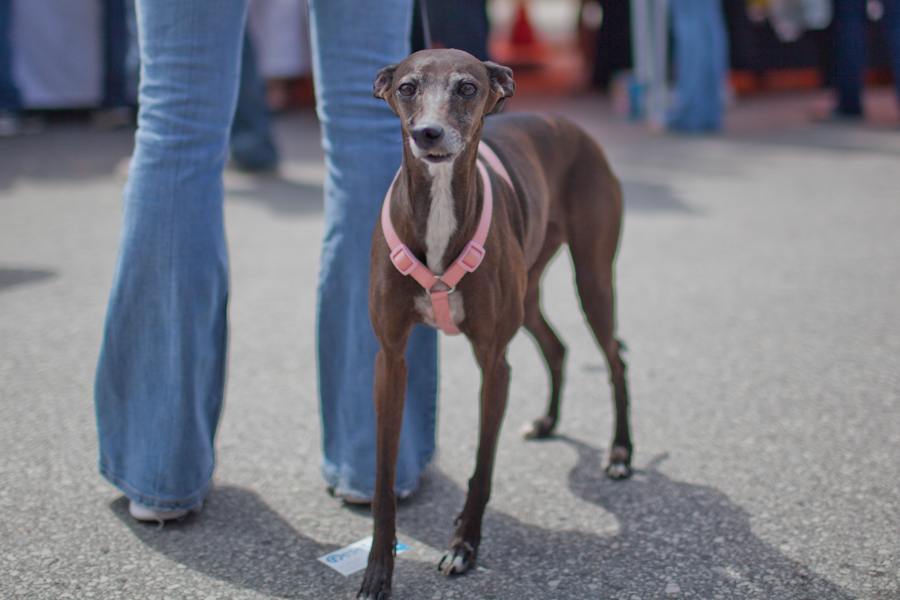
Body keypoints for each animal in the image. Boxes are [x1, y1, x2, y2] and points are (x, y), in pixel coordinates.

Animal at [356, 49, 628, 596]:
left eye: (467, 87)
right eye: (407, 87)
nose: (429, 134)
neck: (440, 209)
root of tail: (571, 125)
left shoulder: (493, 363)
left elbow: (482, 468)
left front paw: (463, 545)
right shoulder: (391, 359)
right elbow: (383, 480)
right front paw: (378, 570)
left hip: (593, 279)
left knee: (615, 358)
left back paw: (620, 452)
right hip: (530, 292)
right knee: (558, 346)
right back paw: (548, 421)